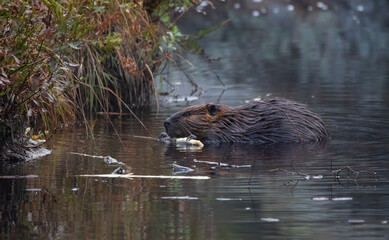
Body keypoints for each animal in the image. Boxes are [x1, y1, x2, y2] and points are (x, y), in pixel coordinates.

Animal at [162, 97, 328, 144]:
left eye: (187, 114)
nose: (166, 122)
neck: (229, 121)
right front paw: (162, 136)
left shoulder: (225, 134)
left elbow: (212, 141)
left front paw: (190, 137)